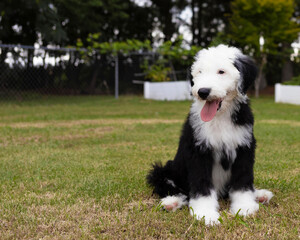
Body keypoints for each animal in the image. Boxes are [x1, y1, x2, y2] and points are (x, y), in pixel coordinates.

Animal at [146, 44, 274, 225]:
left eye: (221, 71)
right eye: (199, 72)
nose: (203, 91)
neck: (220, 117)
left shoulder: (244, 147)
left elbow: (242, 181)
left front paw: (245, 206)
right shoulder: (198, 151)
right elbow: (201, 184)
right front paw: (205, 213)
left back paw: (260, 195)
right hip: (163, 171)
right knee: (176, 189)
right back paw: (171, 202)